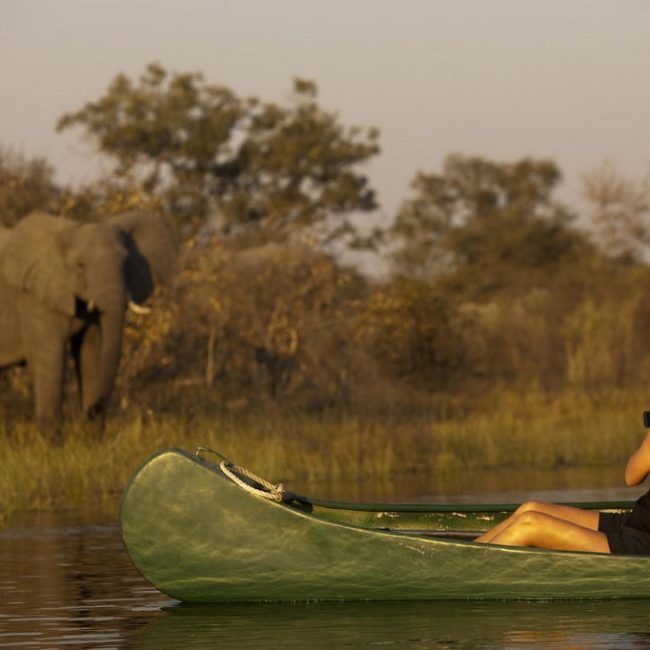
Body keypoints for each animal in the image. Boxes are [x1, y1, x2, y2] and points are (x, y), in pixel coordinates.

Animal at [0, 211, 176, 436]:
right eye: (80, 266)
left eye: (125, 262)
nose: (93, 411)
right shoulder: (33, 300)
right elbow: (50, 359)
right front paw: (51, 443)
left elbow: (90, 354)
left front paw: (91, 439)